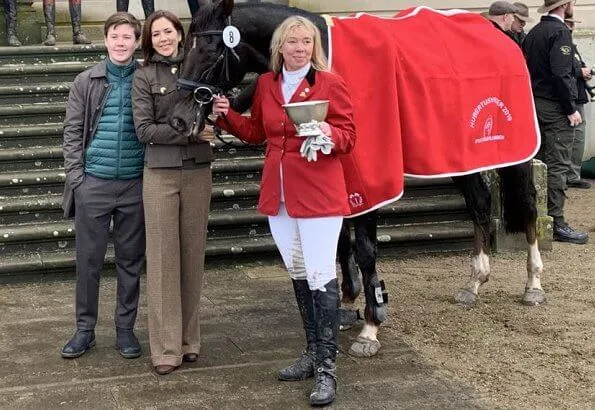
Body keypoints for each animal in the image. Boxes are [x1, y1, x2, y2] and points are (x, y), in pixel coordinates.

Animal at [170, 0, 548, 358]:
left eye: (211, 51)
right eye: (183, 47)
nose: (178, 119)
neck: (324, 60)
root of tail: (501, 34)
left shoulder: (370, 179)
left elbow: (364, 249)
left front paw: (370, 326)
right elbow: (338, 242)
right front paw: (345, 305)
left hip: (512, 153)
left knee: (528, 204)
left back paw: (533, 284)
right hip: (456, 157)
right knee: (479, 203)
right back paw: (474, 282)